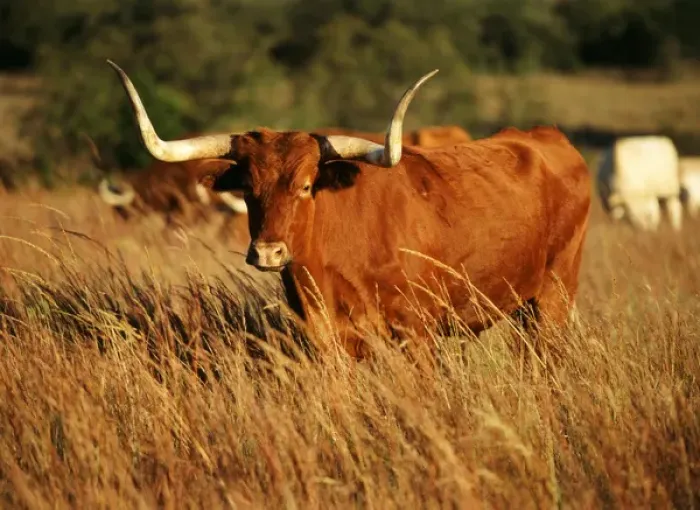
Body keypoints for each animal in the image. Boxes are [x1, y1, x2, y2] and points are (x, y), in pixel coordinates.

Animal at [107, 59, 591, 365]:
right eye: (247, 188)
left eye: (306, 186)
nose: (267, 253)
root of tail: (545, 135)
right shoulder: (330, 340)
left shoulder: (416, 335)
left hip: (555, 296)